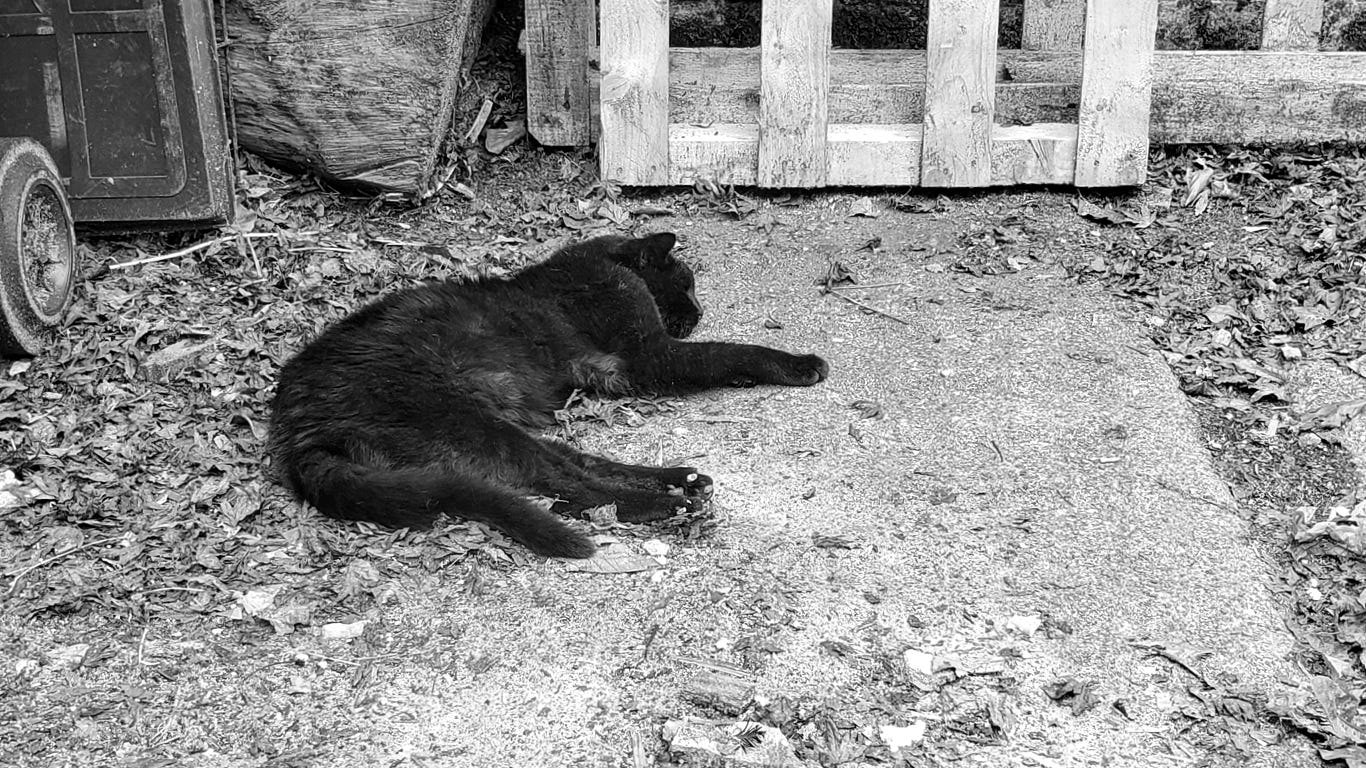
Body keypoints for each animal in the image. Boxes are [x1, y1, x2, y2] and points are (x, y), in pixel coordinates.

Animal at [263, 232, 819, 554]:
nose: (698, 312)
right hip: (464, 420)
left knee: (576, 464)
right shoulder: (649, 357)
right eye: (687, 282)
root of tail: (296, 429)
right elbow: (728, 352)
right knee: (568, 485)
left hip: (489, 425)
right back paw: (669, 504)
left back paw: (679, 479)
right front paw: (800, 363)